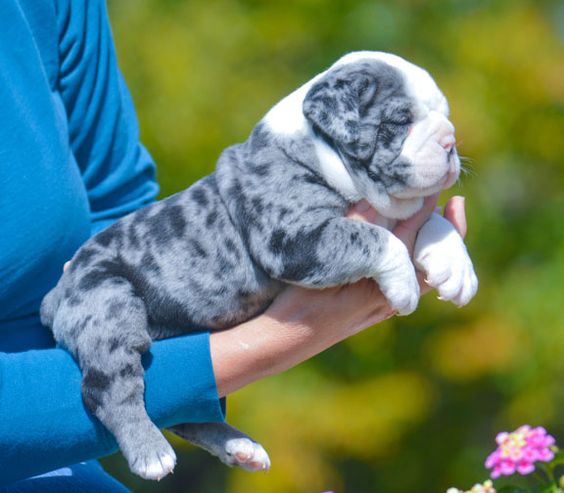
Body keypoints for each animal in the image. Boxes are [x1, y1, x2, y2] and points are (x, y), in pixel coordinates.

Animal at [41, 52, 478, 478]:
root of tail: (59, 292)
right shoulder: (293, 238)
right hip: (109, 306)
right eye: (400, 120)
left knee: (186, 410)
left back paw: (239, 446)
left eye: (444, 114)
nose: (450, 142)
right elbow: (376, 238)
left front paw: (456, 268)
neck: (318, 153)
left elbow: (432, 222)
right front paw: (403, 286)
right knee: (109, 388)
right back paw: (150, 452)